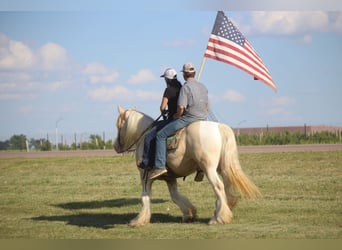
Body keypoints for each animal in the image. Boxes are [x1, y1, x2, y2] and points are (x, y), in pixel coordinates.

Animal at [113, 105, 260, 227]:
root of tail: (219, 127)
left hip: (209, 168)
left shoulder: (145, 175)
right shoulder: (170, 178)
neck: (144, 137)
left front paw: (139, 220)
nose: (115, 146)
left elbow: (145, 197)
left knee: (218, 187)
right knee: (226, 186)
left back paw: (219, 218)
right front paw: (189, 213)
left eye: (118, 125)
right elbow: (175, 196)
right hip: (222, 168)